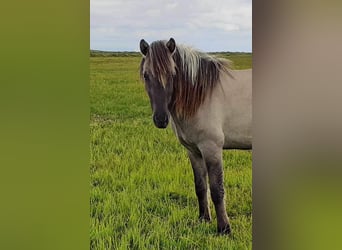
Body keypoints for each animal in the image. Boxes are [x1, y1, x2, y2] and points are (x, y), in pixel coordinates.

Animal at [138, 37, 251, 234]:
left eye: (173, 74)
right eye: (146, 75)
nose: (161, 119)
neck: (201, 97)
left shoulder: (211, 149)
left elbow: (217, 189)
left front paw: (224, 228)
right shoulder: (193, 151)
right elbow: (200, 186)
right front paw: (203, 219)